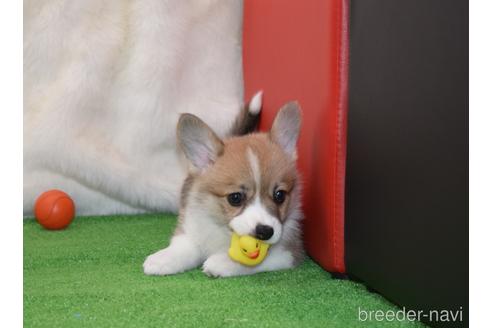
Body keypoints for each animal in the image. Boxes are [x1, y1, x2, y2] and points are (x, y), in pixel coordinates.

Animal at [143, 100, 304, 276]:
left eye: (279, 195)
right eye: (235, 198)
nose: (265, 232)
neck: (223, 230)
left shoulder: (288, 253)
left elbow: (256, 260)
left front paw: (220, 262)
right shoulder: (191, 227)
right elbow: (185, 246)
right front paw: (163, 259)